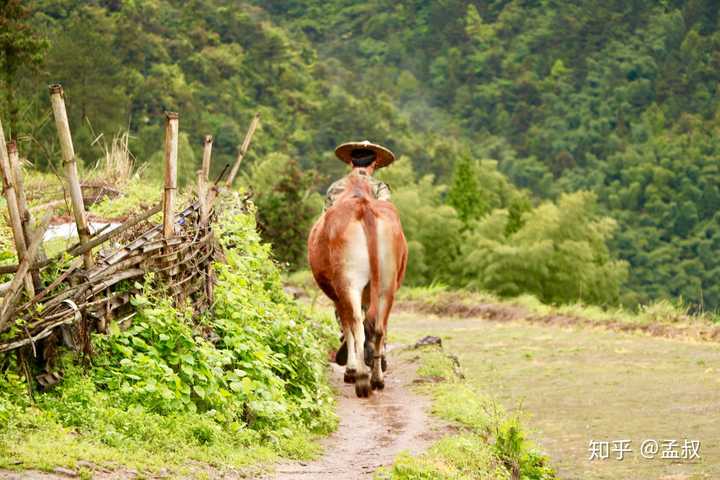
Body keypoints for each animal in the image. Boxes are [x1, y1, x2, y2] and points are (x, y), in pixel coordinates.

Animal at [308, 174, 408, 396]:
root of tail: (364, 207)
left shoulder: (338, 295)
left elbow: (346, 327)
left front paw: (351, 369)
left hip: (348, 283)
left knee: (356, 325)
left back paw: (361, 377)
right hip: (387, 286)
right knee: (378, 328)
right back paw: (377, 378)